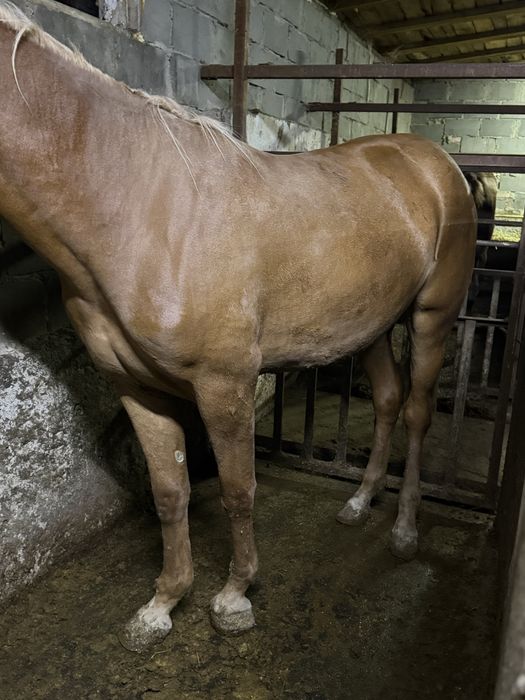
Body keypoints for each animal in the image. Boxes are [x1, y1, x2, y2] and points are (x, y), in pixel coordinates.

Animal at [0, 2, 476, 652]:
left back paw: (404, 530)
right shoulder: (135, 388)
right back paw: (358, 501)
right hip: (373, 326)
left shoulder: (224, 384)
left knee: (417, 411)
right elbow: (171, 493)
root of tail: (433, 160)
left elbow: (237, 489)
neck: (138, 211)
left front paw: (234, 596)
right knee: (385, 398)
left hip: (432, 318)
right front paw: (162, 603)